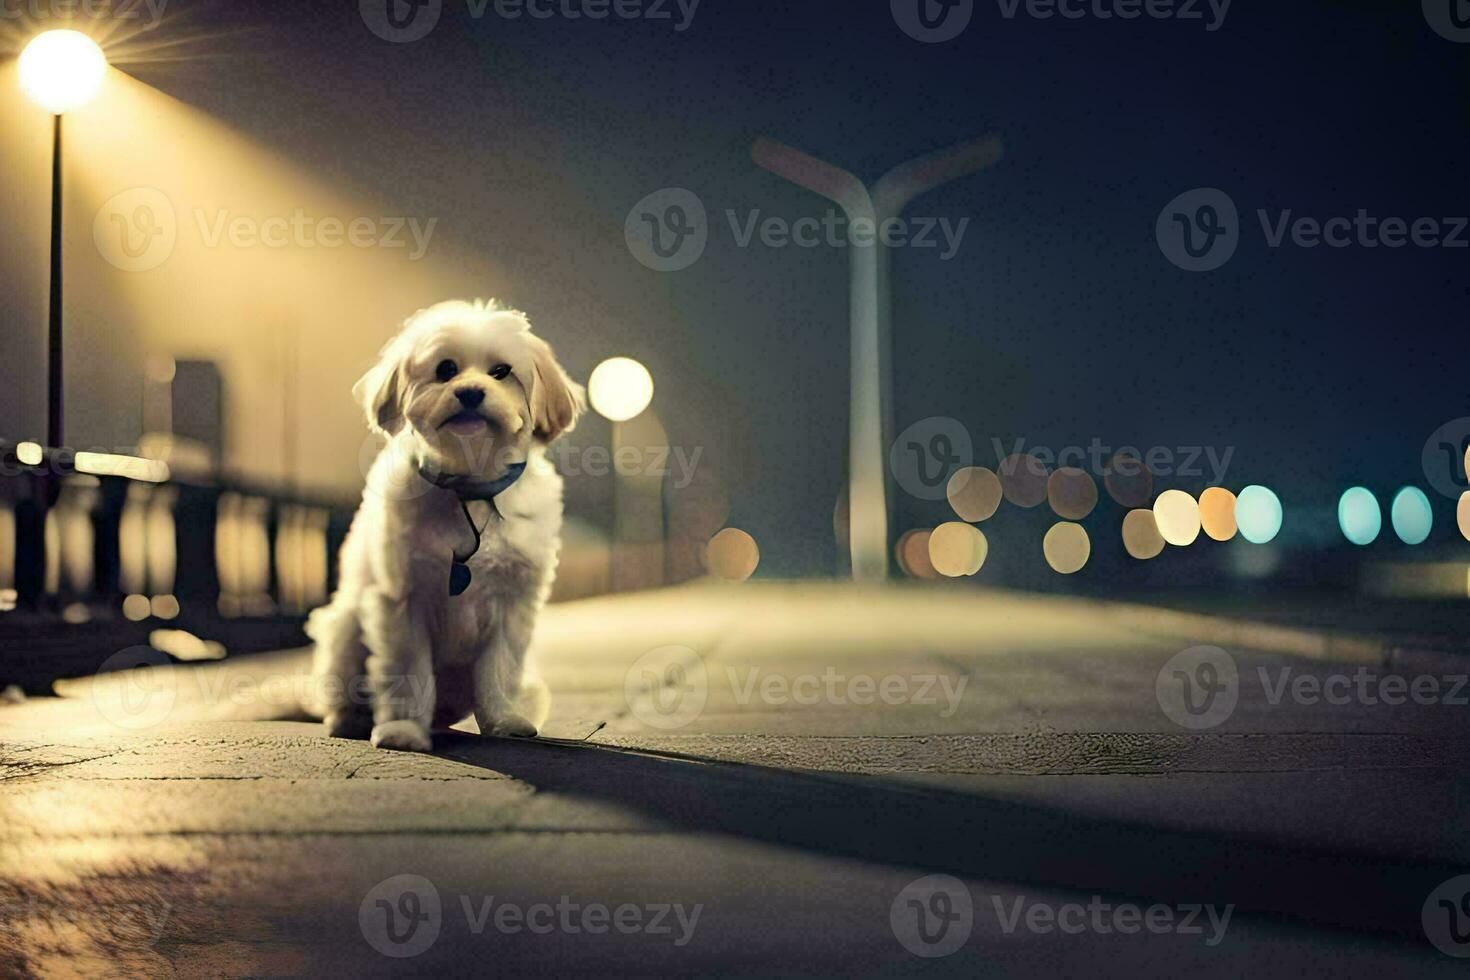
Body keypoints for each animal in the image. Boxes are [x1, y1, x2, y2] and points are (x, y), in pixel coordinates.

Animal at [307, 299, 582, 752]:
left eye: (501, 372)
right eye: (446, 369)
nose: (470, 392)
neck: (469, 489)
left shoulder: (512, 605)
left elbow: (499, 669)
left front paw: (504, 721)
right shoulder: (403, 603)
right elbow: (408, 674)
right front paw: (403, 730)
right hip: (346, 631)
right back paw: (351, 720)